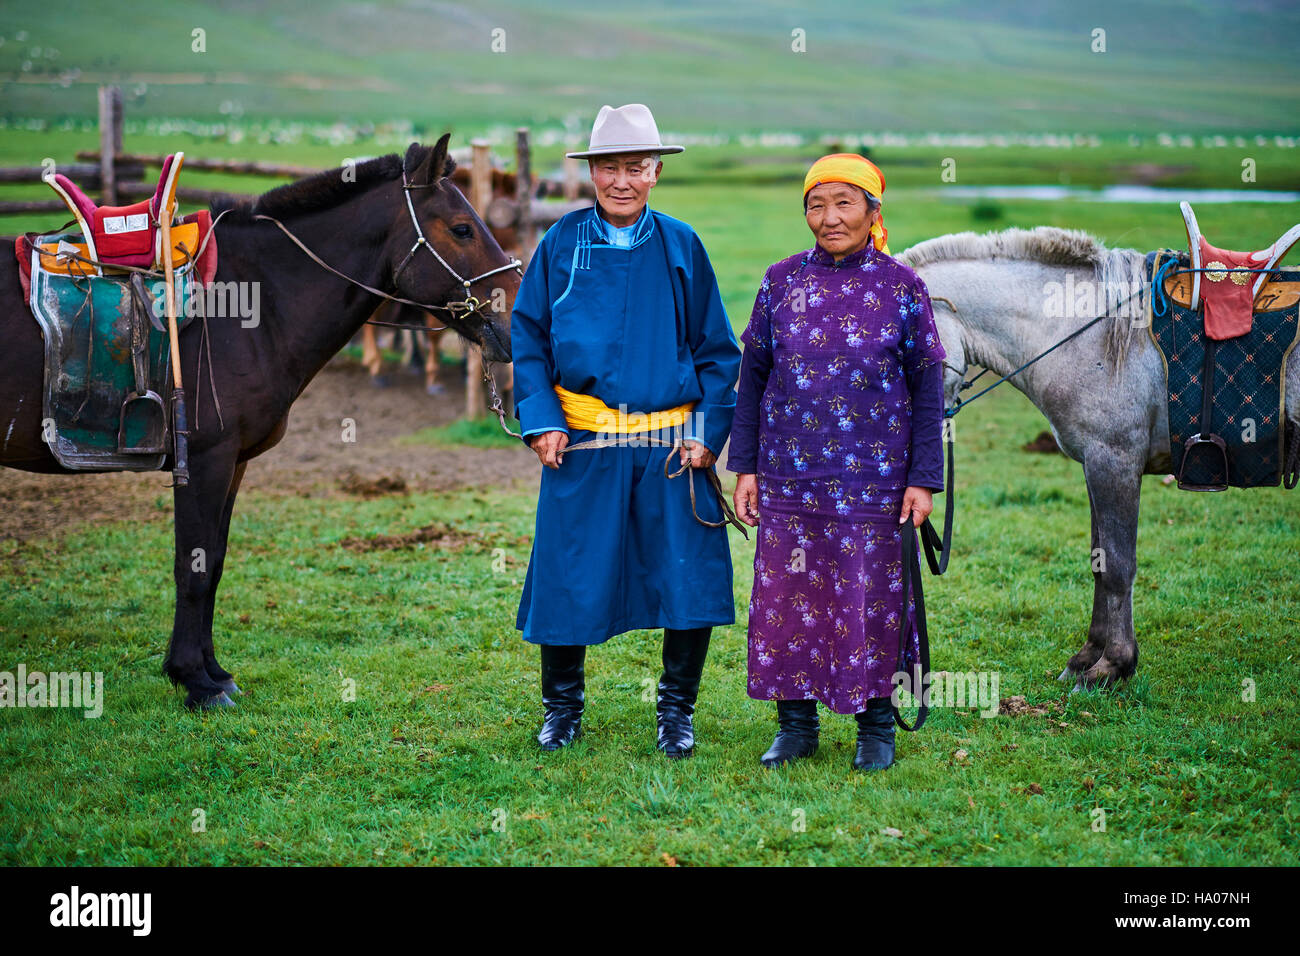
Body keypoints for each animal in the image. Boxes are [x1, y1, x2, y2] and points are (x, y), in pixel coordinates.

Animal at [0, 138, 517, 712]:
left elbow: (216, 562)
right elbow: (194, 566)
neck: (257, 303)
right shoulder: (205, 459)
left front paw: (213, 672)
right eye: (462, 229)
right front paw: (195, 681)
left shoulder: (235, 463)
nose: (516, 309)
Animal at [899, 227, 1300, 691]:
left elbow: (1118, 566)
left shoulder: (1115, 462)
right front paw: (1086, 658)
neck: (1087, 334)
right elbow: (1098, 560)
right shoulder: (1095, 465)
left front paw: (1113, 666)